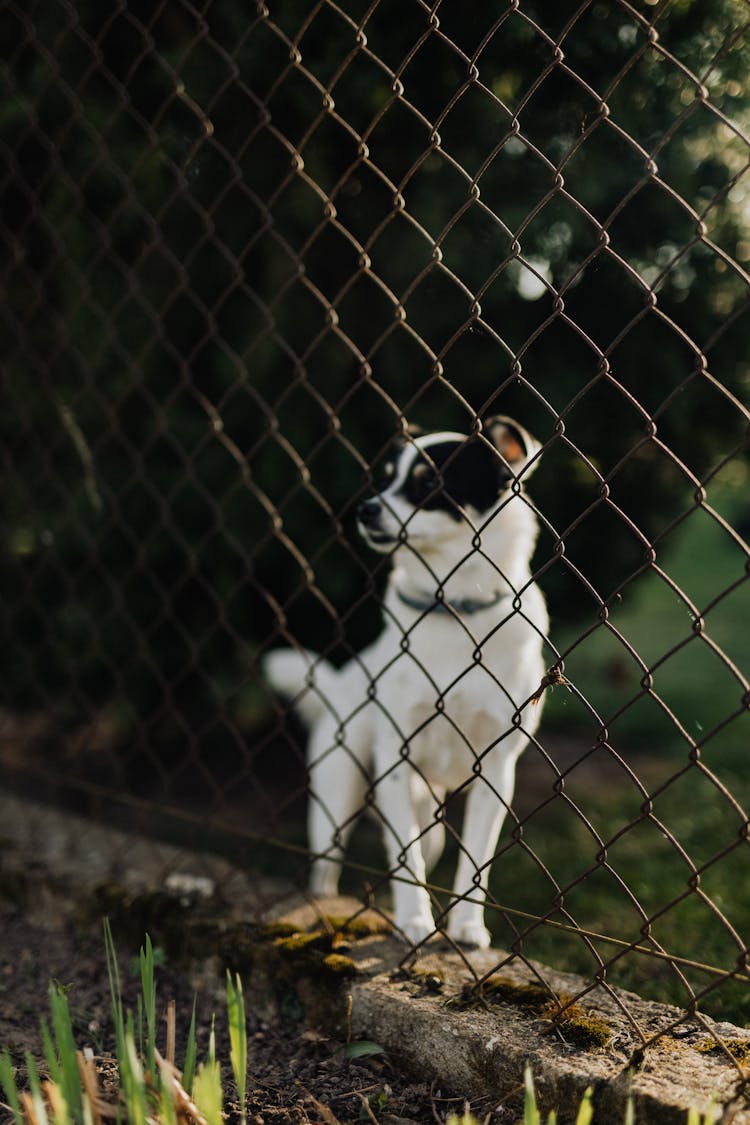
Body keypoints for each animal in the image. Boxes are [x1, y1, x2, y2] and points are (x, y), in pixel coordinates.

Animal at [266, 418, 548, 945]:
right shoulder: (395, 760)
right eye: (384, 479)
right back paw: (323, 900)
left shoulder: (496, 771)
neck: (452, 607)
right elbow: (404, 862)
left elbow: (475, 862)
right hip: (337, 792)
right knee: (329, 864)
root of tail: (342, 682)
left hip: (429, 816)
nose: (366, 508)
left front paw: (466, 927)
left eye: (429, 483)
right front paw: (414, 920)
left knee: (428, 843)